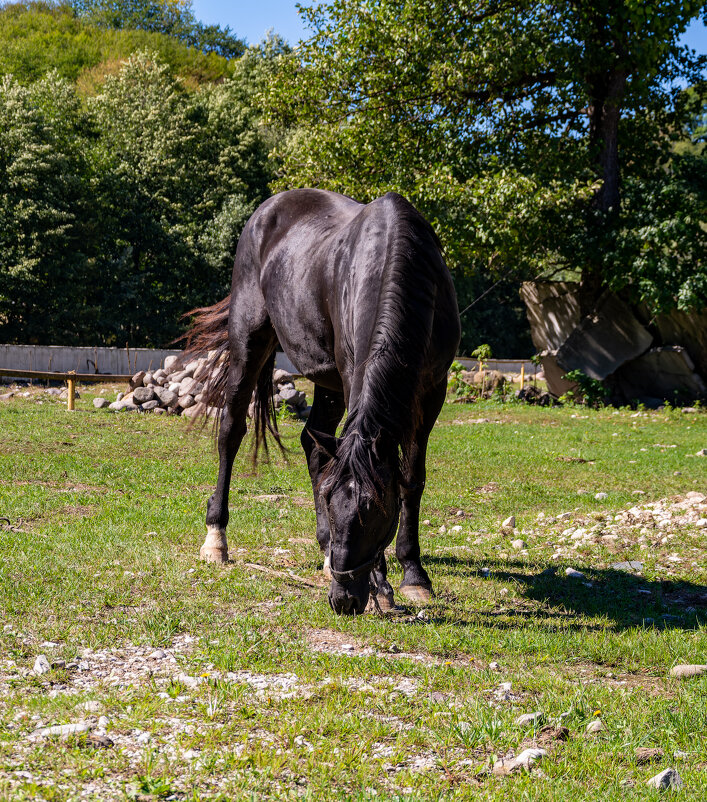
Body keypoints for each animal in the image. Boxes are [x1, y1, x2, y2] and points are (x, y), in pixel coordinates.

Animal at [184, 188, 460, 612]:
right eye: (331, 502)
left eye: (375, 510)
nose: (343, 599)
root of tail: (265, 211)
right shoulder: (352, 374)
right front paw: (382, 585)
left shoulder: (432, 389)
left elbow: (411, 479)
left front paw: (414, 575)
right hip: (250, 341)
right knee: (231, 431)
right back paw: (216, 540)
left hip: (327, 379)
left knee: (314, 444)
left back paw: (326, 551)